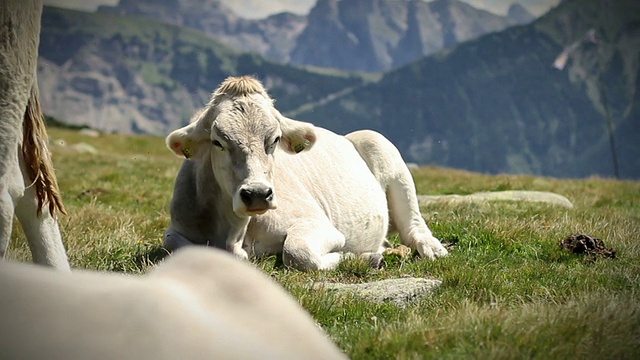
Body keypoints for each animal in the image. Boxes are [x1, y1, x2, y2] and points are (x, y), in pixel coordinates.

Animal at [164, 76, 444, 270]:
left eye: (275, 139)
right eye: (217, 142)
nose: (257, 194)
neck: (234, 234)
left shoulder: (317, 223)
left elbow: (298, 252)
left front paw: (358, 257)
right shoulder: (178, 226)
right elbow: (172, 246)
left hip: (381, 146)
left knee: (413, 225)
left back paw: (431, 249)